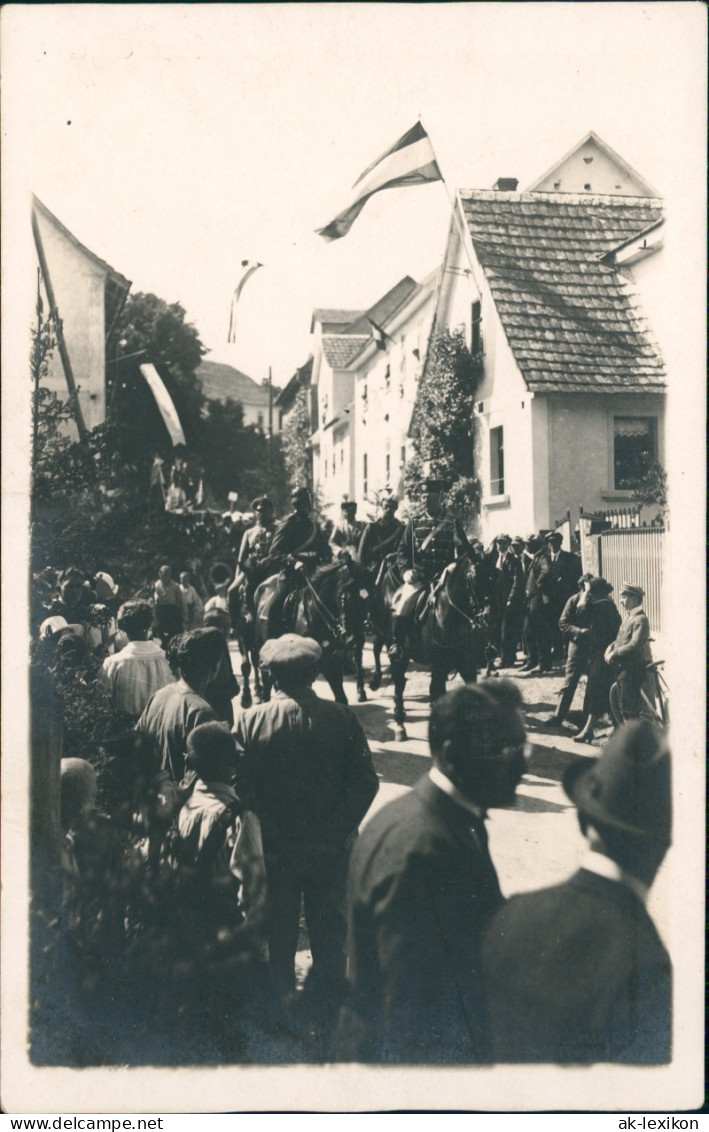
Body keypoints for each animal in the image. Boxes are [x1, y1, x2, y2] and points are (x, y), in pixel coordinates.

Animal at [366, 554, 489, 742]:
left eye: (496, 575)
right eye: (474, 578)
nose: (489, 616)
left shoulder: (466, 666)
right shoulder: (438, 666)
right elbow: (436, 692)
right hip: (398, 653)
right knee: (398, 683)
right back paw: (399, 724)